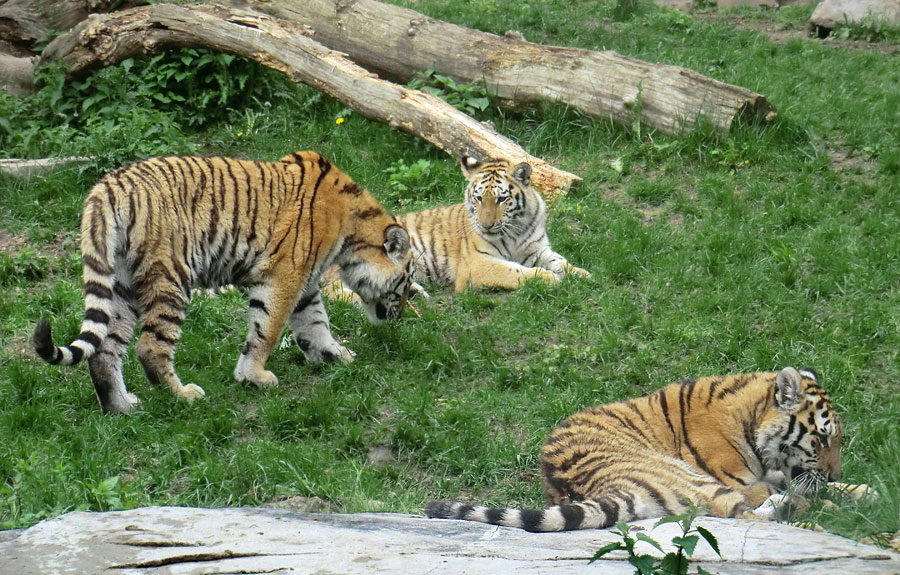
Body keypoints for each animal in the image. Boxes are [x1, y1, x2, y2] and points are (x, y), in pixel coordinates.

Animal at [31, 152, 414, 414]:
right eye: (408, 284)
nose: (401, 317)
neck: (350, 230)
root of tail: (106, 187)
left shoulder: (305, 284)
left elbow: (315, 322)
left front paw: (334, 354)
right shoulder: (284, 276)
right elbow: (267, 330)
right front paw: (254, 377)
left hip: (122, 286)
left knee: (105, 350)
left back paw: (121, 407)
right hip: (170, 276)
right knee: (150, 347)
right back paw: (183, 396)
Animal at [324, 155, 592, 304]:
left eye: (501, 199)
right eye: (479, 198)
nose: (486, 224)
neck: (516, 227)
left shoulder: (537, 249)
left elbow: (560, 261)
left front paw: (581, 274)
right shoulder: (478, 264)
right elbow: (515, 271)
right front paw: (548, 278)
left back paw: (414, 293)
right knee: (333, 290)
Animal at [428, 366, 872, 532]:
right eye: (822, 438)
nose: (836, 471)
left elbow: (805, 482)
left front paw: (863, 490)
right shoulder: (744, 480)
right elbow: (794, 488)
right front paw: (839, 498)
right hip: (689, 475)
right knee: (741, 513)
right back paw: (817, 517)